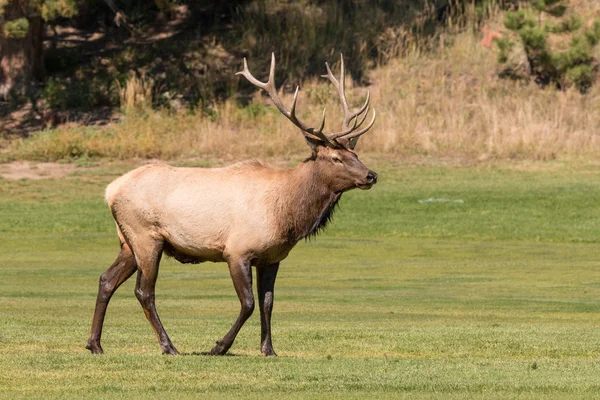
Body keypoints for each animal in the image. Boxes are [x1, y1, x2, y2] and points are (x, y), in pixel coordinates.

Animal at [86, 54, 378, 356]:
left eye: (355, 153)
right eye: (335, 158)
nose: (371, 175)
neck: (286, 215)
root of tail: (110, 190)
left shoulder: (272, 257)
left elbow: (268, 302)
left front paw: (268, 349)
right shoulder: (237, 251)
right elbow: (248, 303)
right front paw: (219, 346)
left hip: (127, 241)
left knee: (106, 280)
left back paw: (95, 344)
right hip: (146, 236)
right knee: (144, 291)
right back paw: (169, 346)